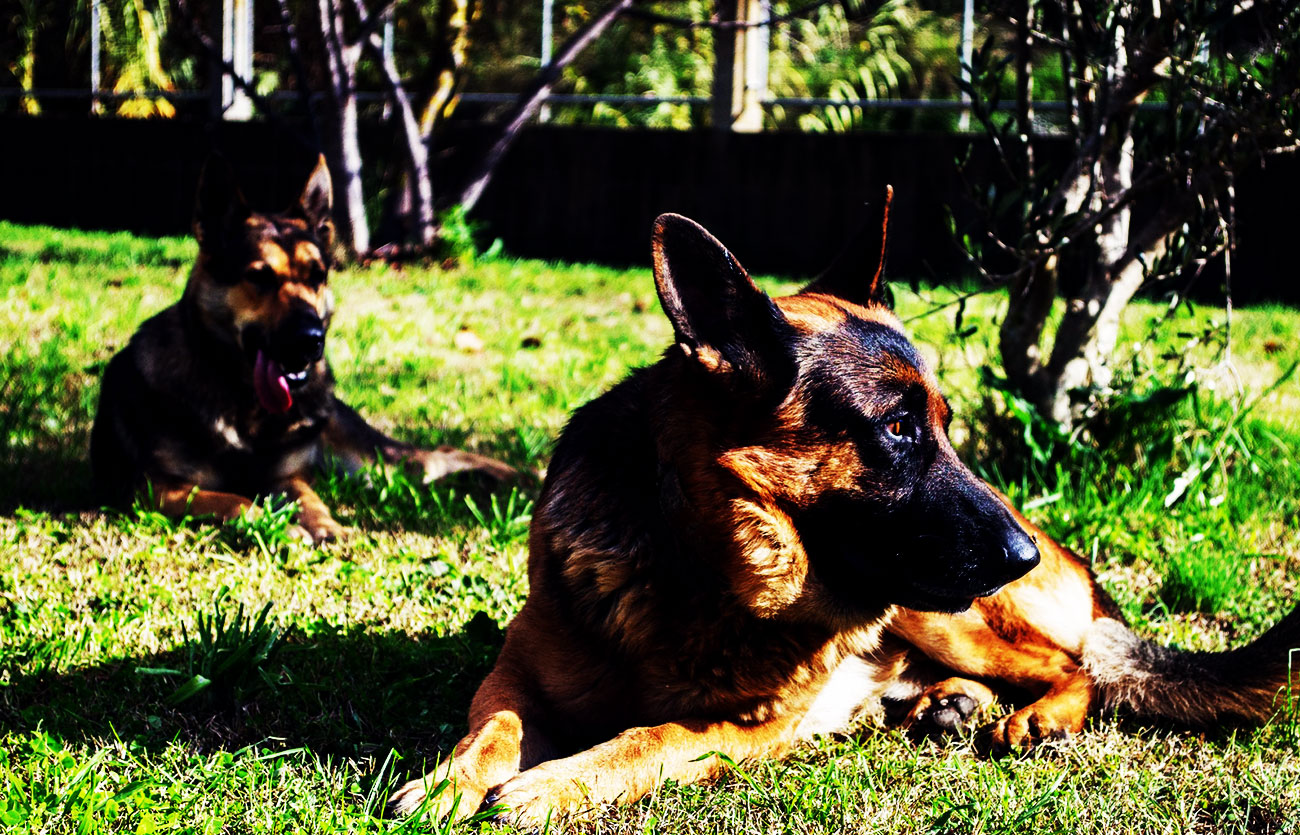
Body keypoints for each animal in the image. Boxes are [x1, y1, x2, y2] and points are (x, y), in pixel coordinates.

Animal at [89, 155, 514, 541]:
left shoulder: (288, 477)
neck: (242, 400)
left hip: (375, 461)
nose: (312, 339)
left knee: (441, 454)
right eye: (259, 277)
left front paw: (324, 523)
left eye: (317, 276)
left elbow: (309, 498)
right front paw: (272, 523)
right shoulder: (157, 489)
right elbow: (234, 499)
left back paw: (516, 476)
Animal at [387, 192, 1300, 821]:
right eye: (897, 427)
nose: (1022, 557)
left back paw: (1033, 716)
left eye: (945, 424)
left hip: (941, 609)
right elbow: (493, 726)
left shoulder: (745, 727)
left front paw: (552, 786)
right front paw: (446, 781)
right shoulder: (513, 669)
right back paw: (944, 703)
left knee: (1074, 666)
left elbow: (653, 735)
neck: (695, 565)